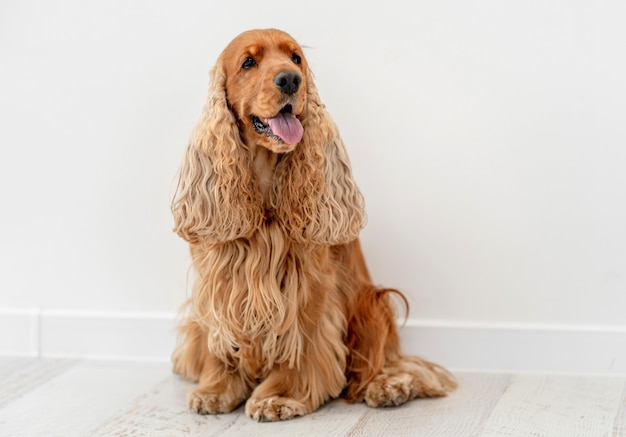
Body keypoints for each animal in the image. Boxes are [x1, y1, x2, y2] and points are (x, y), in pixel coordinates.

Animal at [171, 29, 454, 420]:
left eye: (296, 59)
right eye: (248, 62)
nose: (290, 80)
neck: (264, 183)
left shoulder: (308, 285)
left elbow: (300, 342)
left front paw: (281, 396)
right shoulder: (217, 282)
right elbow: (219, 341)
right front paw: (215, 390)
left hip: (372, 302)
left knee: (387, 362)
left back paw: (388, 386)